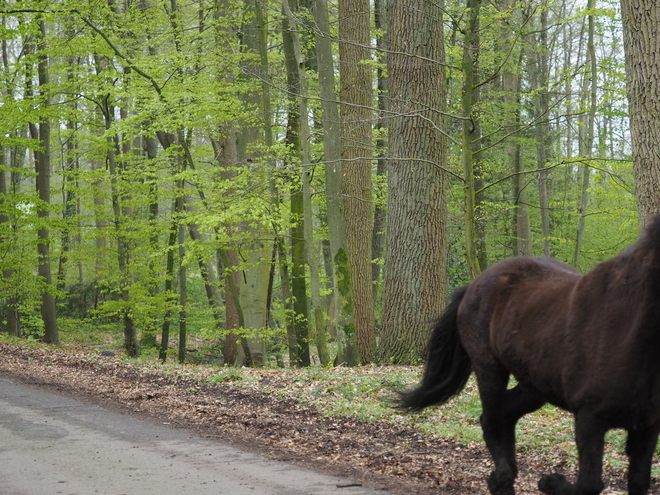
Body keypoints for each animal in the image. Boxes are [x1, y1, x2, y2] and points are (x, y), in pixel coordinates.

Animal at [400, 217, 660, 495]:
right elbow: (589, 483)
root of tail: (475, 283)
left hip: (535, 386)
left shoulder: (647, 425)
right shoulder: (589, 419)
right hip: (489, 369)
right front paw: (551, 482)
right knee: (491, 421)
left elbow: (638, 481)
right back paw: (502, 480)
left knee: (506, 415)